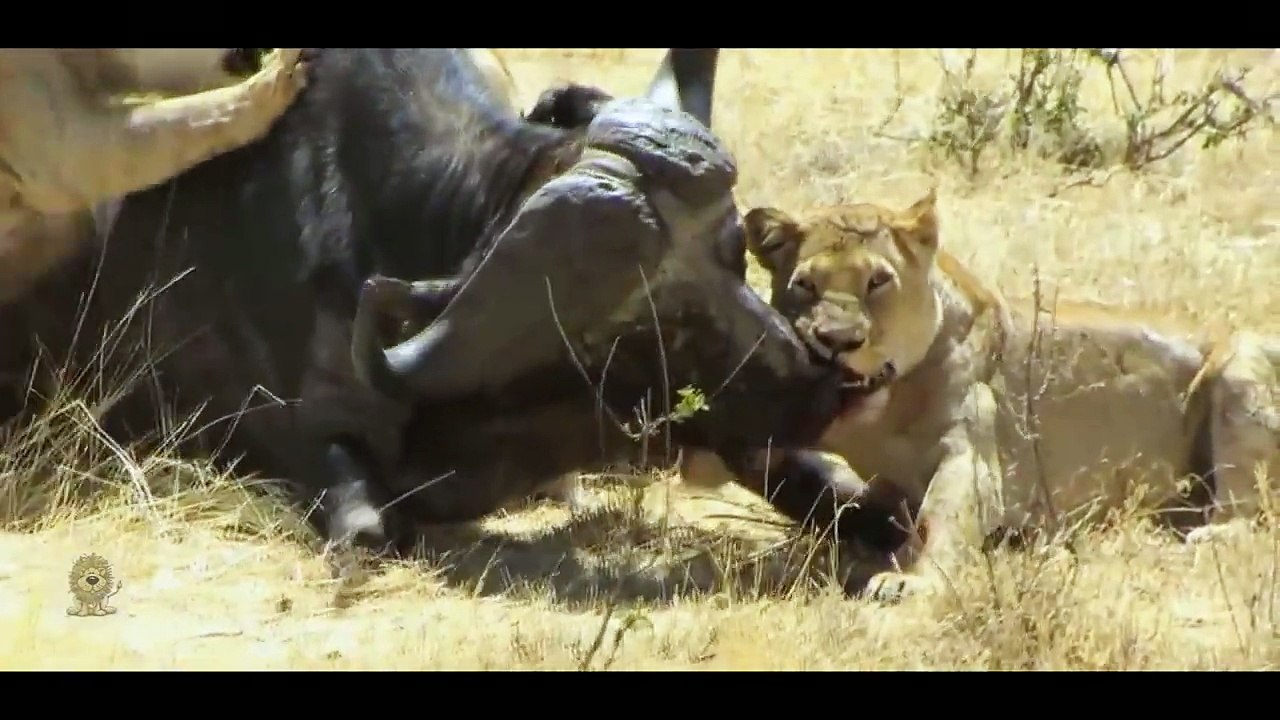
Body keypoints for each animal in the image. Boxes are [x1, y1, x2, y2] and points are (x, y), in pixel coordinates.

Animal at [681, 189, 1279, 603]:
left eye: (878, 281)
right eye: (805, 284)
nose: (837, 342)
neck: (886, 408)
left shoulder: (973, 457)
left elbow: (944, 515)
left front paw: (912, 582)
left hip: (1241, 368)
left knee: (1248, 511)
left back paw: (1205, 533)